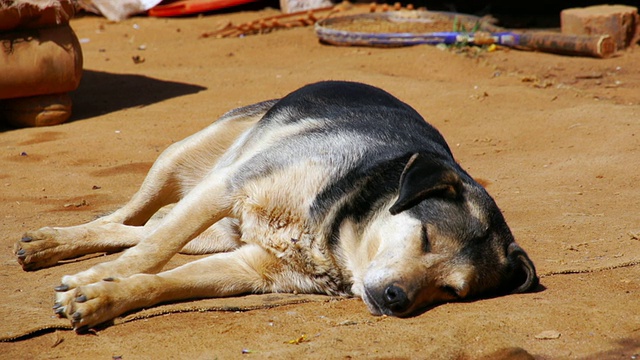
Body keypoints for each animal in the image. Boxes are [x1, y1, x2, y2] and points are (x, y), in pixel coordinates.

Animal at [13, 80, 536, 330]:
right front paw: (95, 278)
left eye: (452, 291)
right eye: (425, 236)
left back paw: (50, 247)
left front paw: (102, 296)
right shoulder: (229, 186)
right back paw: (54, 243)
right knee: (128, 219)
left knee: (144, 228)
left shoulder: (250, 268)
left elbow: (158, 279)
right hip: (183, 160)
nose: (396, 300)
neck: (331, 235)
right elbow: (152, 253)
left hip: (216, 233)